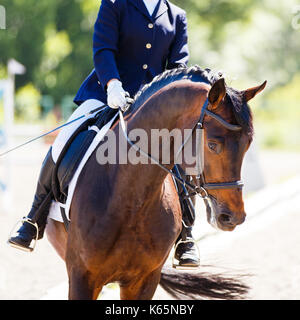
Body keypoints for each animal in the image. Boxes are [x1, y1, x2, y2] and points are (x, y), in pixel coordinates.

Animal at [45, 66, 266, 298]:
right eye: (213, 145)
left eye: (248, 144)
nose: (233, 217)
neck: (132, 198)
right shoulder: (82, 276)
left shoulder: (145, 280)